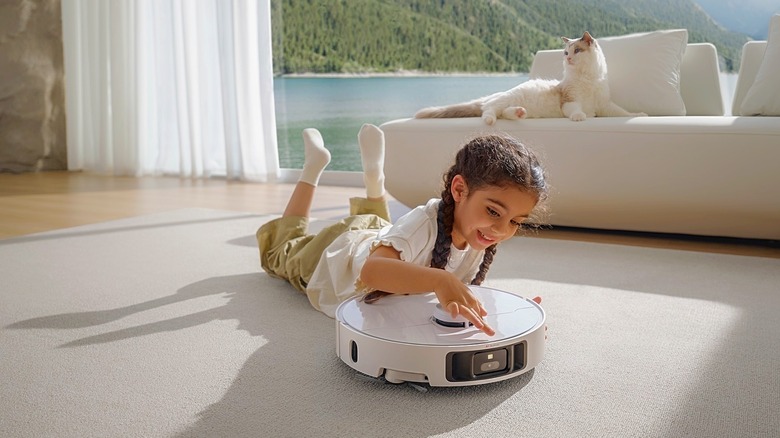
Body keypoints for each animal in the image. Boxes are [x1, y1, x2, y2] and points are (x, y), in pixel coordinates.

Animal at [414, 31, 644, 124]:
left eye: (576, 51)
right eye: (565, 52)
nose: (568, 58)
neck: (588, 78)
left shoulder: (605, 105)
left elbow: (623, 112)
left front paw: (639, 114)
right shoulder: (569, 100)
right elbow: (576, 110)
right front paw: (580, 117)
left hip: (513, 104)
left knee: (503, 113)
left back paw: (519, 113)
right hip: (503, 100)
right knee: (488, 111)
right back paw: (491, 119)